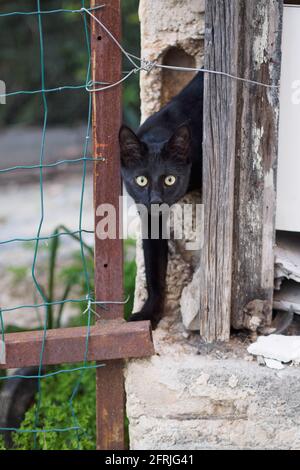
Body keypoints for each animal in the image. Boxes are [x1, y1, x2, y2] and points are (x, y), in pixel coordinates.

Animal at [118, 72, 203, 326]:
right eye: (141, 180)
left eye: (169, 180)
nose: (155, 200)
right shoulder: (149, 218)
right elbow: (154, 270)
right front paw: (149, 314)